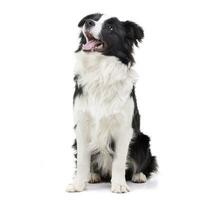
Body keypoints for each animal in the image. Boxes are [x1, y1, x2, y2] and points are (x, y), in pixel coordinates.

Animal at [66, 13, 157, 193]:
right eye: (93, 18)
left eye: (110, 27)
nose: (88, 22)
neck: (100, 70)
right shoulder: (82, 125)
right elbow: (82, 160)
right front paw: (78, 184)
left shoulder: (124, 128)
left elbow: (119, 161)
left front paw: (119, 185)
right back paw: (93, 175)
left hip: (142, 139)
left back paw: (138, 175)